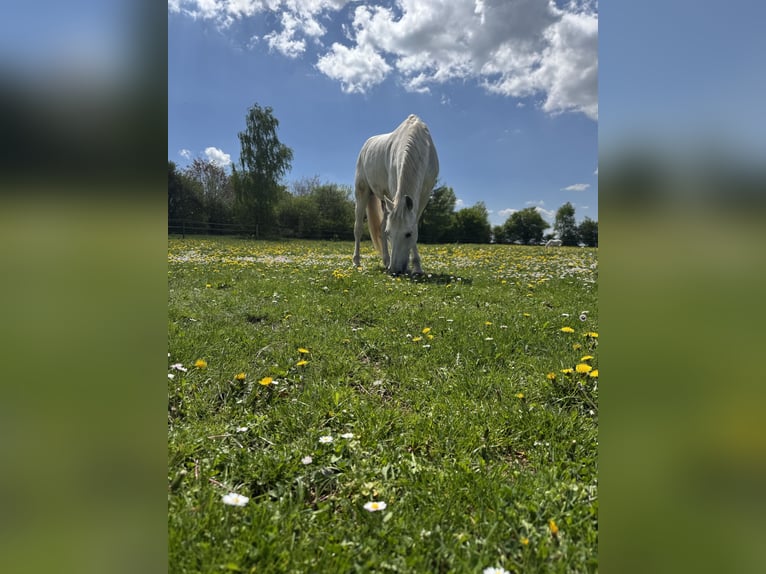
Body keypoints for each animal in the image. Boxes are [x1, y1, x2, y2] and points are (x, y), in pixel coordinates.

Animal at [352, 114, 439, 275]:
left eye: (408, 234)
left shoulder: (425, 195)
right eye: (391, 233)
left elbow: (413, 224)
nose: (395, 270)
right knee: (358, 228)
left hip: (384, 201)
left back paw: (386, 260)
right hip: (362, 192)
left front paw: (417, 267)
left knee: (380, 228)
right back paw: (356, 261)